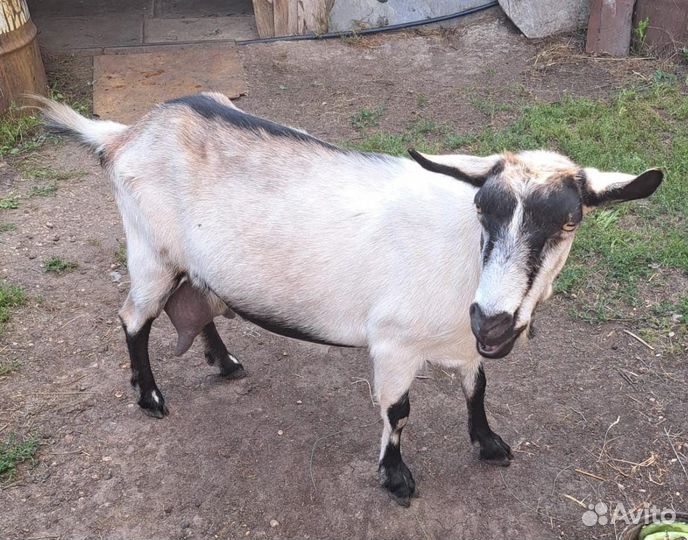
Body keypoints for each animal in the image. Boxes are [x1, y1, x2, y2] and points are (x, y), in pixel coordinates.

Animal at [35, 92, 662, 506]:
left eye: (569, 222)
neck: (463, 258)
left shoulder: (464, 344)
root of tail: (124, 136)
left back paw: (225, 361)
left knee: (196, 299)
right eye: (482, 209)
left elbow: (477, 388)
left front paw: (489, 444)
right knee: (133, 317)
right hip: (150, 253)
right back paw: (150, 396)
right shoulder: (393, 344)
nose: (494, 322)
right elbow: (398, 411)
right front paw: (396, 478)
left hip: (192, 264)